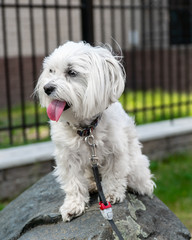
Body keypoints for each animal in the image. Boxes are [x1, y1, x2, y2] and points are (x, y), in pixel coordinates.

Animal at [35, 40, 154, 221]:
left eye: (71, 72)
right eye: (51, 71)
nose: (46, 88)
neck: (86, 130)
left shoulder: (115, 152)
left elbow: (114, 175)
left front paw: (112, 194)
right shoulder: (68, 157)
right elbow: (73, 183)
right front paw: (73, 205)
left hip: (135, 166)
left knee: (139, 179)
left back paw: (141, 186)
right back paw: (92, 185)